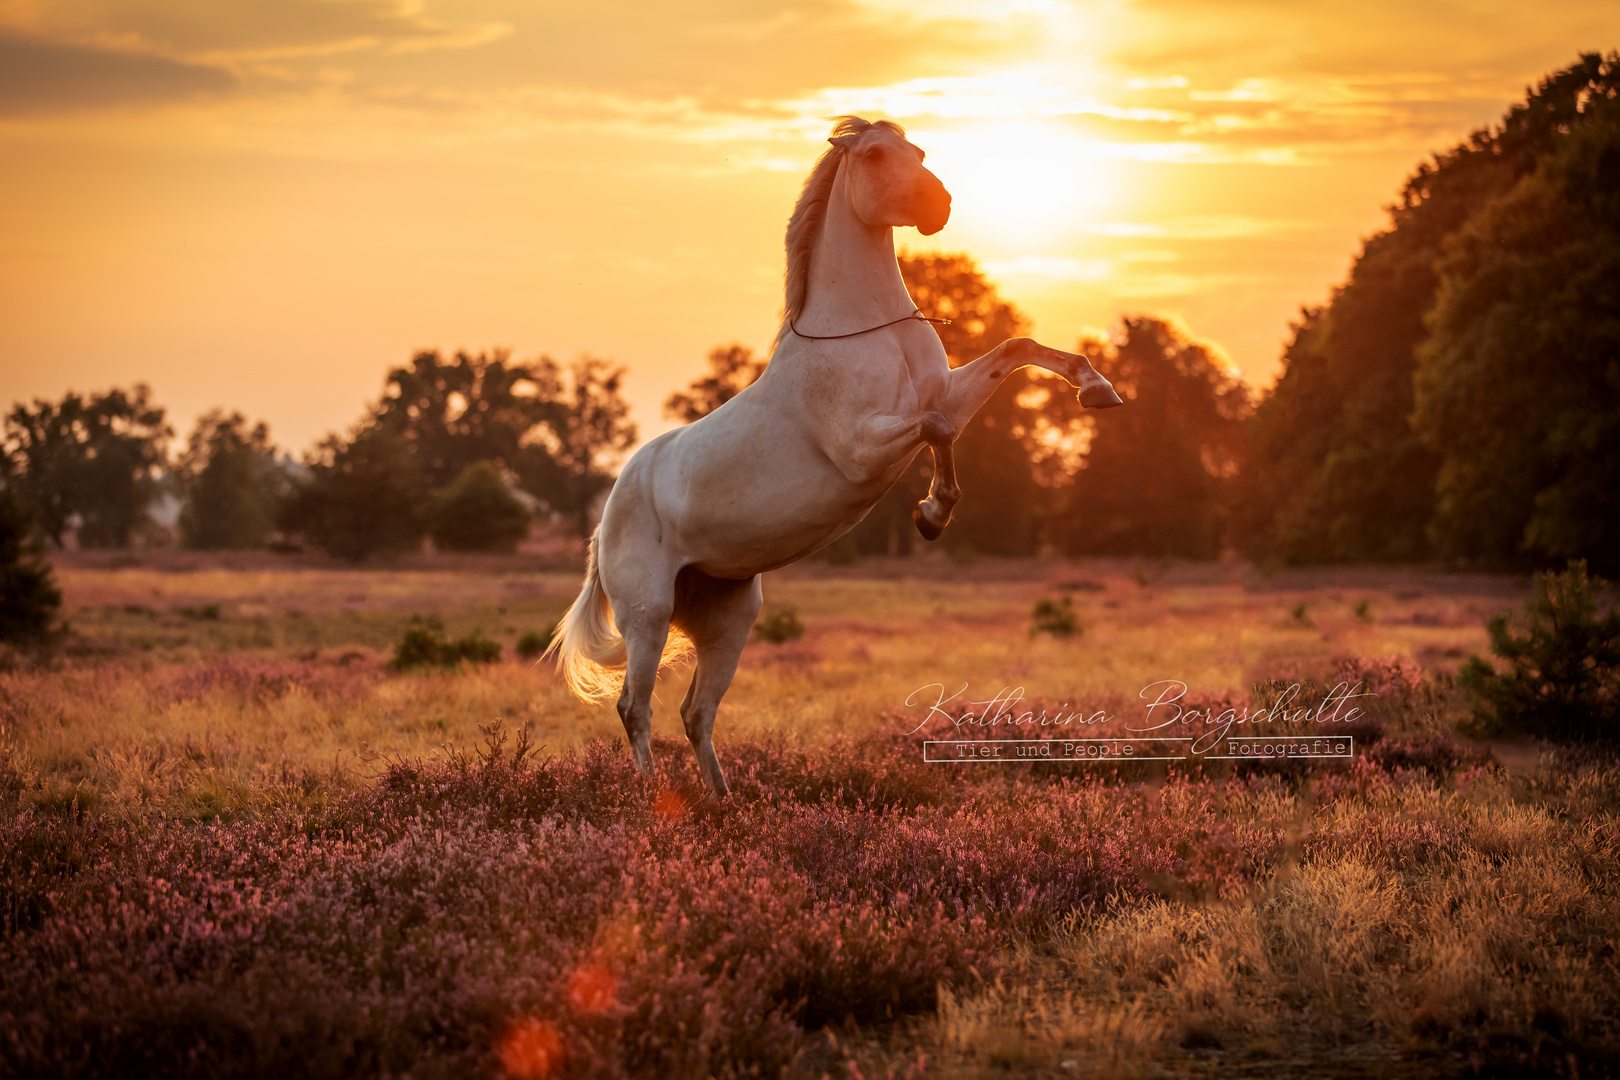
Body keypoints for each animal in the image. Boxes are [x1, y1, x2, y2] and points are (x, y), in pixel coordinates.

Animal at [550, 116, 1121, 793]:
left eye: (917, 150)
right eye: (874, 155)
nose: (938, 205)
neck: (869, 330)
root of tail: (608, 512)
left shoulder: (947, 396)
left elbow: (1014, 351)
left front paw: (1097, 387)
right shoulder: (864, 447)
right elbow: (936, 429)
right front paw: (932, 514)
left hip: (729, 617)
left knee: (696, 713)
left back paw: (722, 802)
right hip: (648, 613)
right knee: (636, 708)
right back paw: (652, 798)